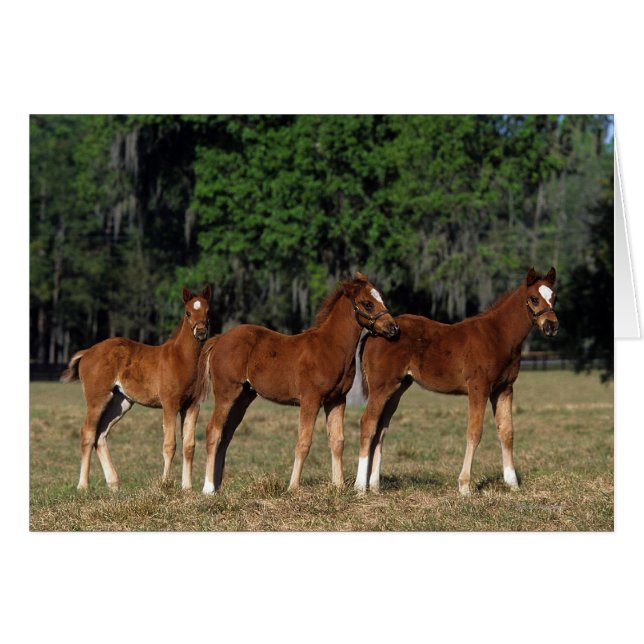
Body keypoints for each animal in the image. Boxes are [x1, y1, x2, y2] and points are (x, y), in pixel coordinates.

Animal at [61, 285, 212, 491]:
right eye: (188, 313)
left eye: (208, 311)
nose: (201, 332)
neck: (181, 358)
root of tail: (87, 352)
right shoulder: (170, 404)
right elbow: (169, 445)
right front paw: (165, 484)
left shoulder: (192, 405)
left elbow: (189, 446)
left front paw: (187, 488)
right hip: (97, 399)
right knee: (88, 434)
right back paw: (83, 486)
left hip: (121, 402)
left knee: (101, 434)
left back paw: (113, 484)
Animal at [196, 272, 399, 494]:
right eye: (367, 304)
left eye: (381, 298)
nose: (393, 328)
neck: (329, 347)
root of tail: (220, 339)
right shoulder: (310, 400)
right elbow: (303, 442)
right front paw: (293, 487)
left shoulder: (337, 400)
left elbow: (337, 440)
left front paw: (338, 485)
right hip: (226, 393)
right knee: (213, 431)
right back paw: (208, 488)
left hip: (243, 397)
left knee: (225, 435)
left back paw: (217, 486)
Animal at [355, 267, 559, 496]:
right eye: (533, 299)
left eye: (554, 297)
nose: (551, 326)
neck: (498, 335)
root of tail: (374, 332)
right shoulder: (479, 388)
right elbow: (474, 432)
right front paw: (464, 486)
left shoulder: (505, 389)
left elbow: (507, 432)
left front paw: (512, 483)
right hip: (381, 387)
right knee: (368, 423)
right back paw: (360, 487)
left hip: (397, 388)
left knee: (380, 428)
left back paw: (374, 486)